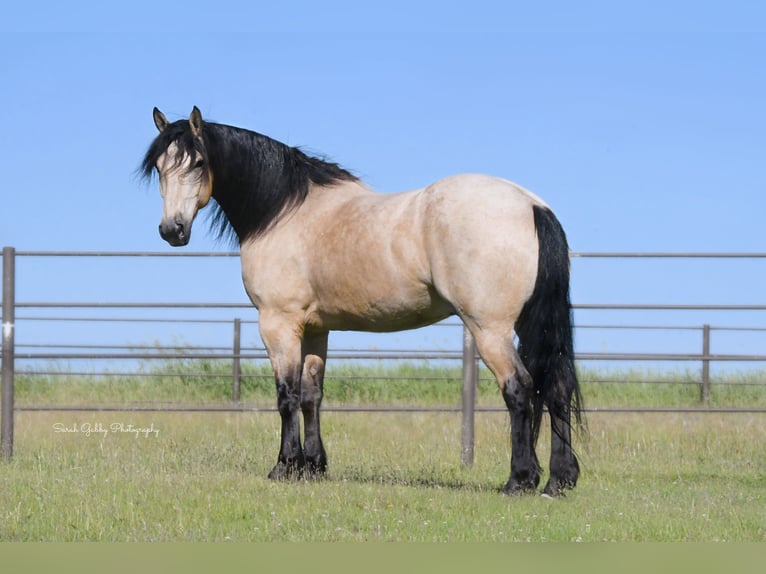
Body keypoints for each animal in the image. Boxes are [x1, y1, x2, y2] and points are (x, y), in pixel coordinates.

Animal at [141, 108, 584, 500]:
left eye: (198, 162)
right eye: (160, 167)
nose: (171, 230)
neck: (282, 213)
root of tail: (531, 205)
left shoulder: (278, 324)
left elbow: (286, 396)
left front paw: (284, 467)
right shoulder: (316, 329)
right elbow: (311, 395)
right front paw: (313, 466)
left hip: (489, 329)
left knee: (519, 389)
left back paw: (520, 480)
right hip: (530, 325)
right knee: (556, 388)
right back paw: (559, 481)